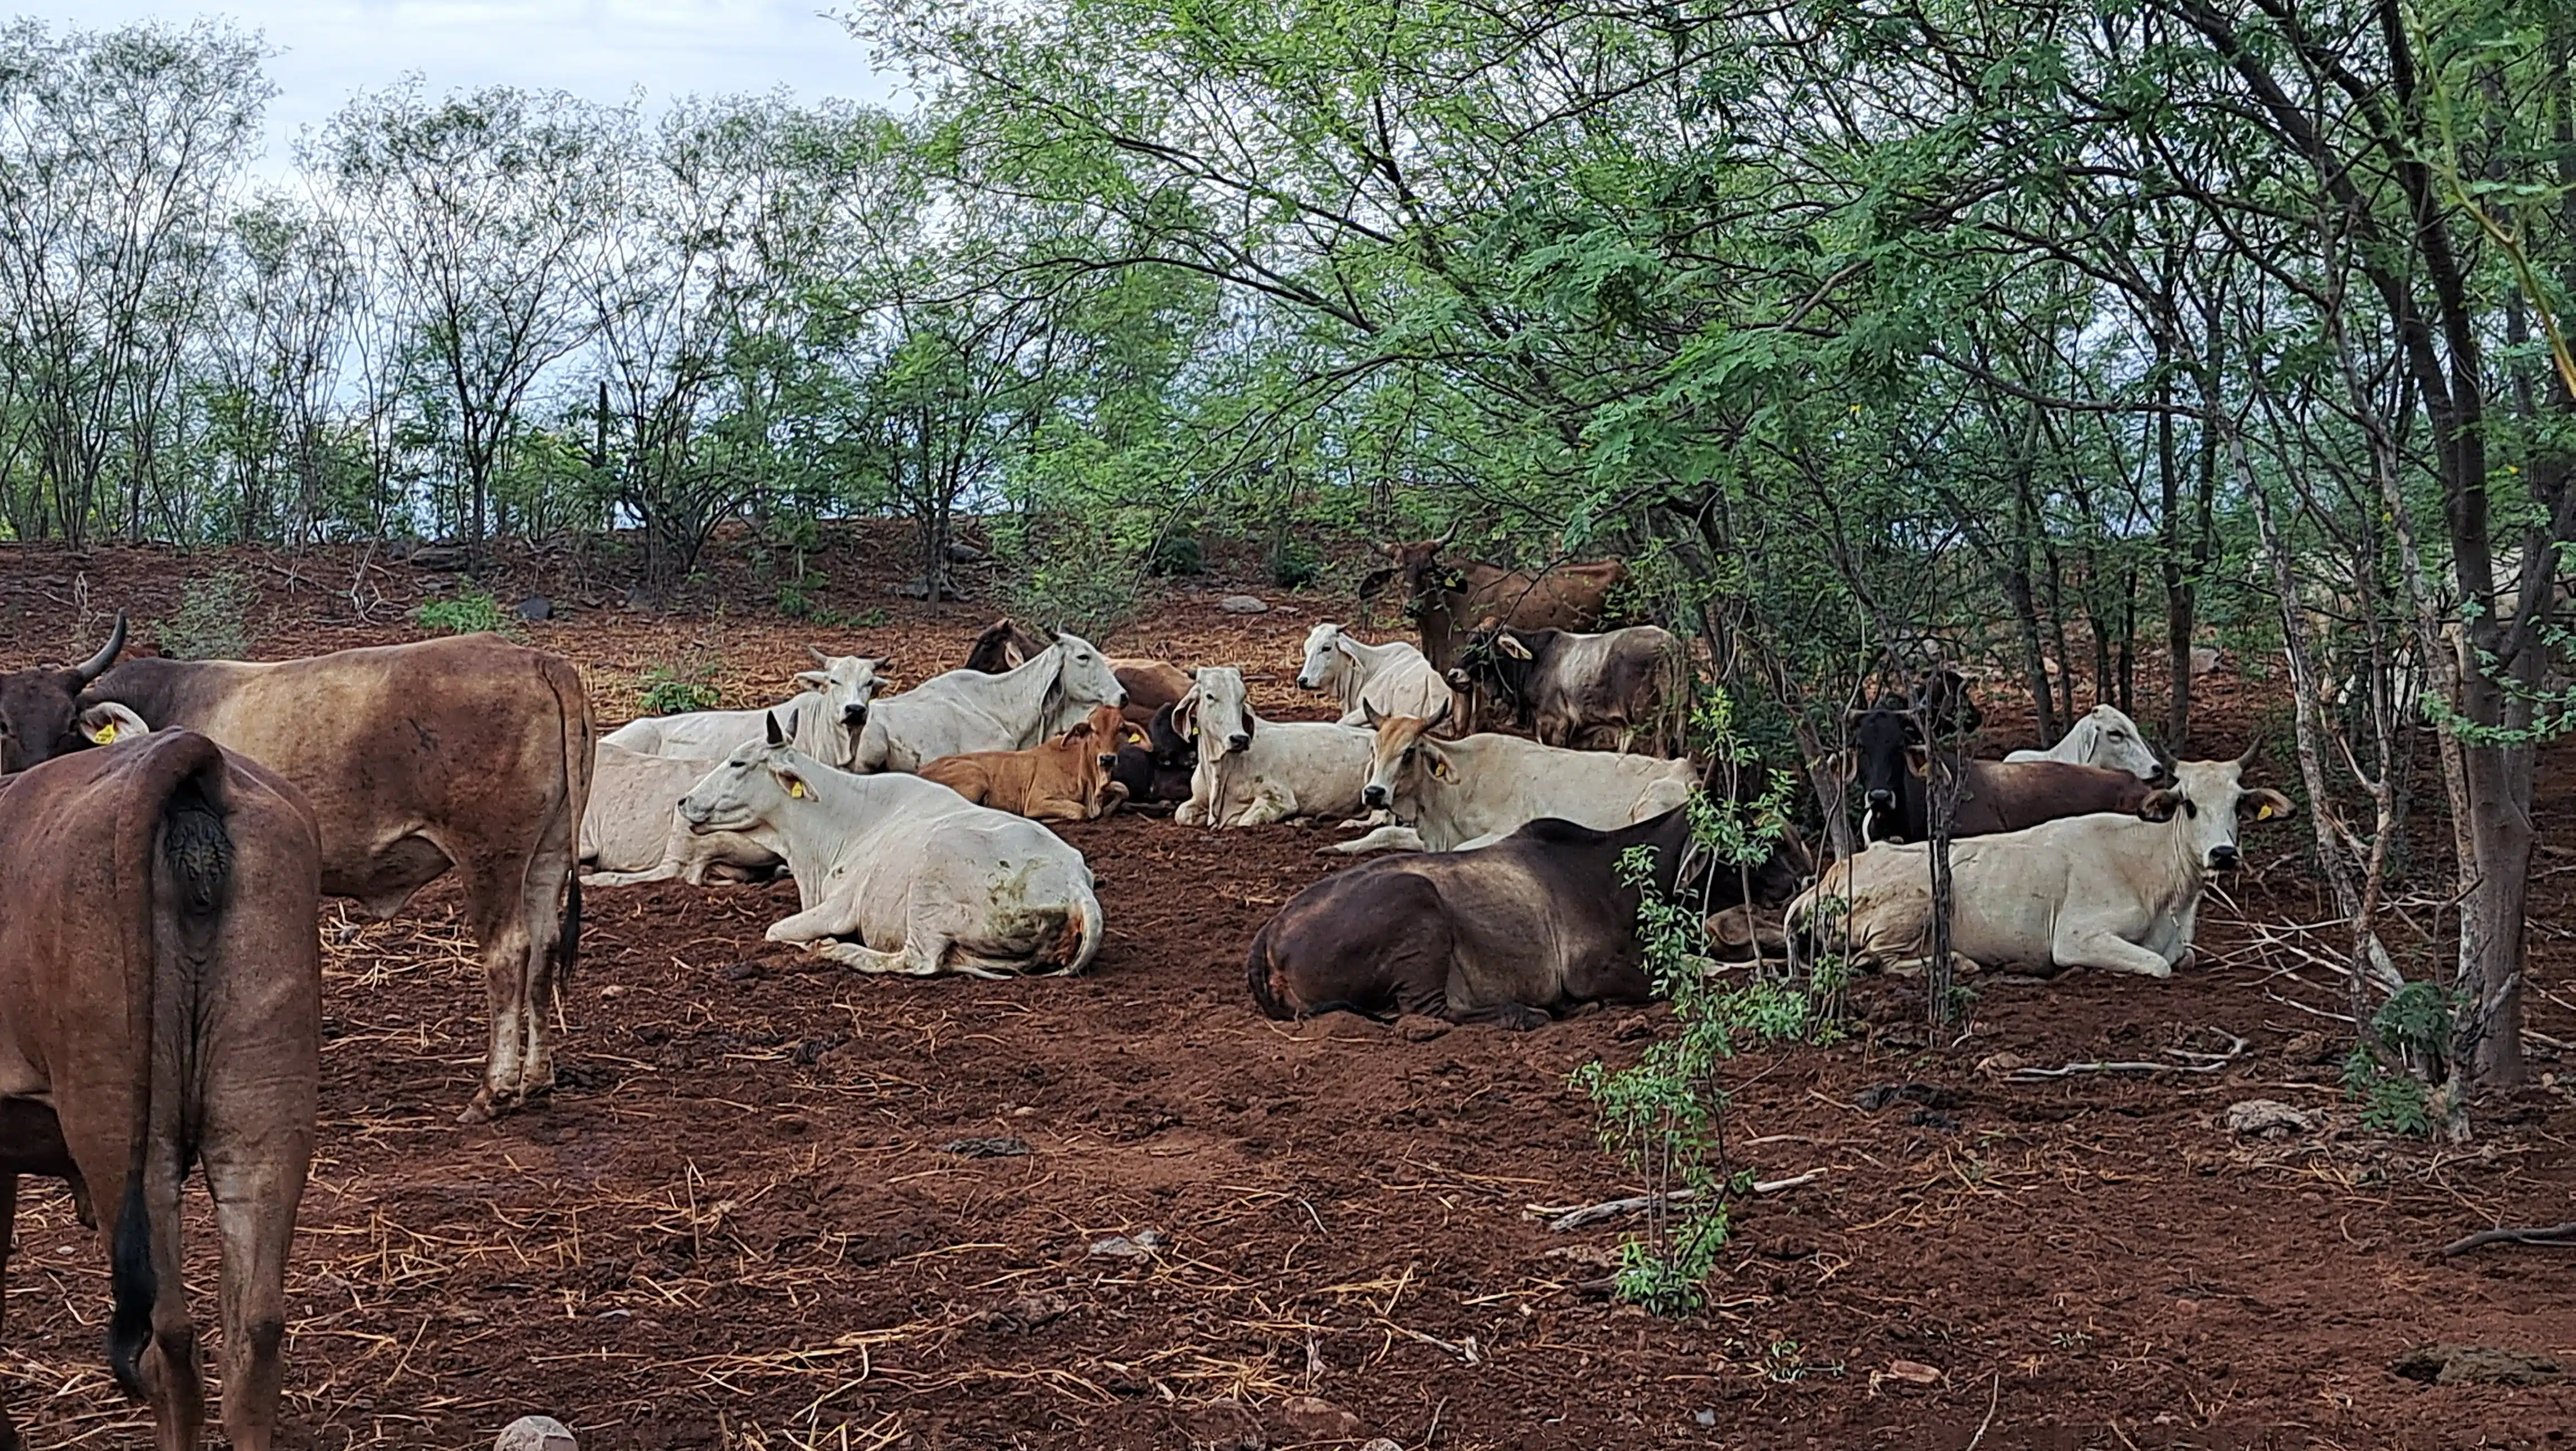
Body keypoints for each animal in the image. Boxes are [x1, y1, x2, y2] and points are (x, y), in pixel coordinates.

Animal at [0, 613, 589, 1123]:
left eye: (65, 727)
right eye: (4, 725)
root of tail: (534, 659)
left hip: (491, 858)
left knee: (508, 953)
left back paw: (495, 1090)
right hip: (547, 856)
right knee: (544, 946)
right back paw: (537, 1078)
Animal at [917, 706, 1138, 825]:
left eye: (1121, 729)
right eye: (1093, 729)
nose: (1107, 759)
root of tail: (921, 772)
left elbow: (1124, 790)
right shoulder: (1037, 801)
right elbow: (1079, 811)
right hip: (976, 777)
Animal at [1247, 798, 1813, 1025]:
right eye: (1760, 843)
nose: (1803, 879)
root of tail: (1269, 935)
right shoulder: (1591, 970)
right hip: (1417, 901)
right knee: (1427, 1014)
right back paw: (1524, 1014)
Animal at [1793, 757, 2297, 984]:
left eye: (2237, 803)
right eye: (2189, 805)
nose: (2223, 853)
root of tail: (1831, 876)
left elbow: (2182, 958)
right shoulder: (2076, 938)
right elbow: (2159, 966)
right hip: (1919, 902)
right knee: (1875, 959)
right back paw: (1959, 961)